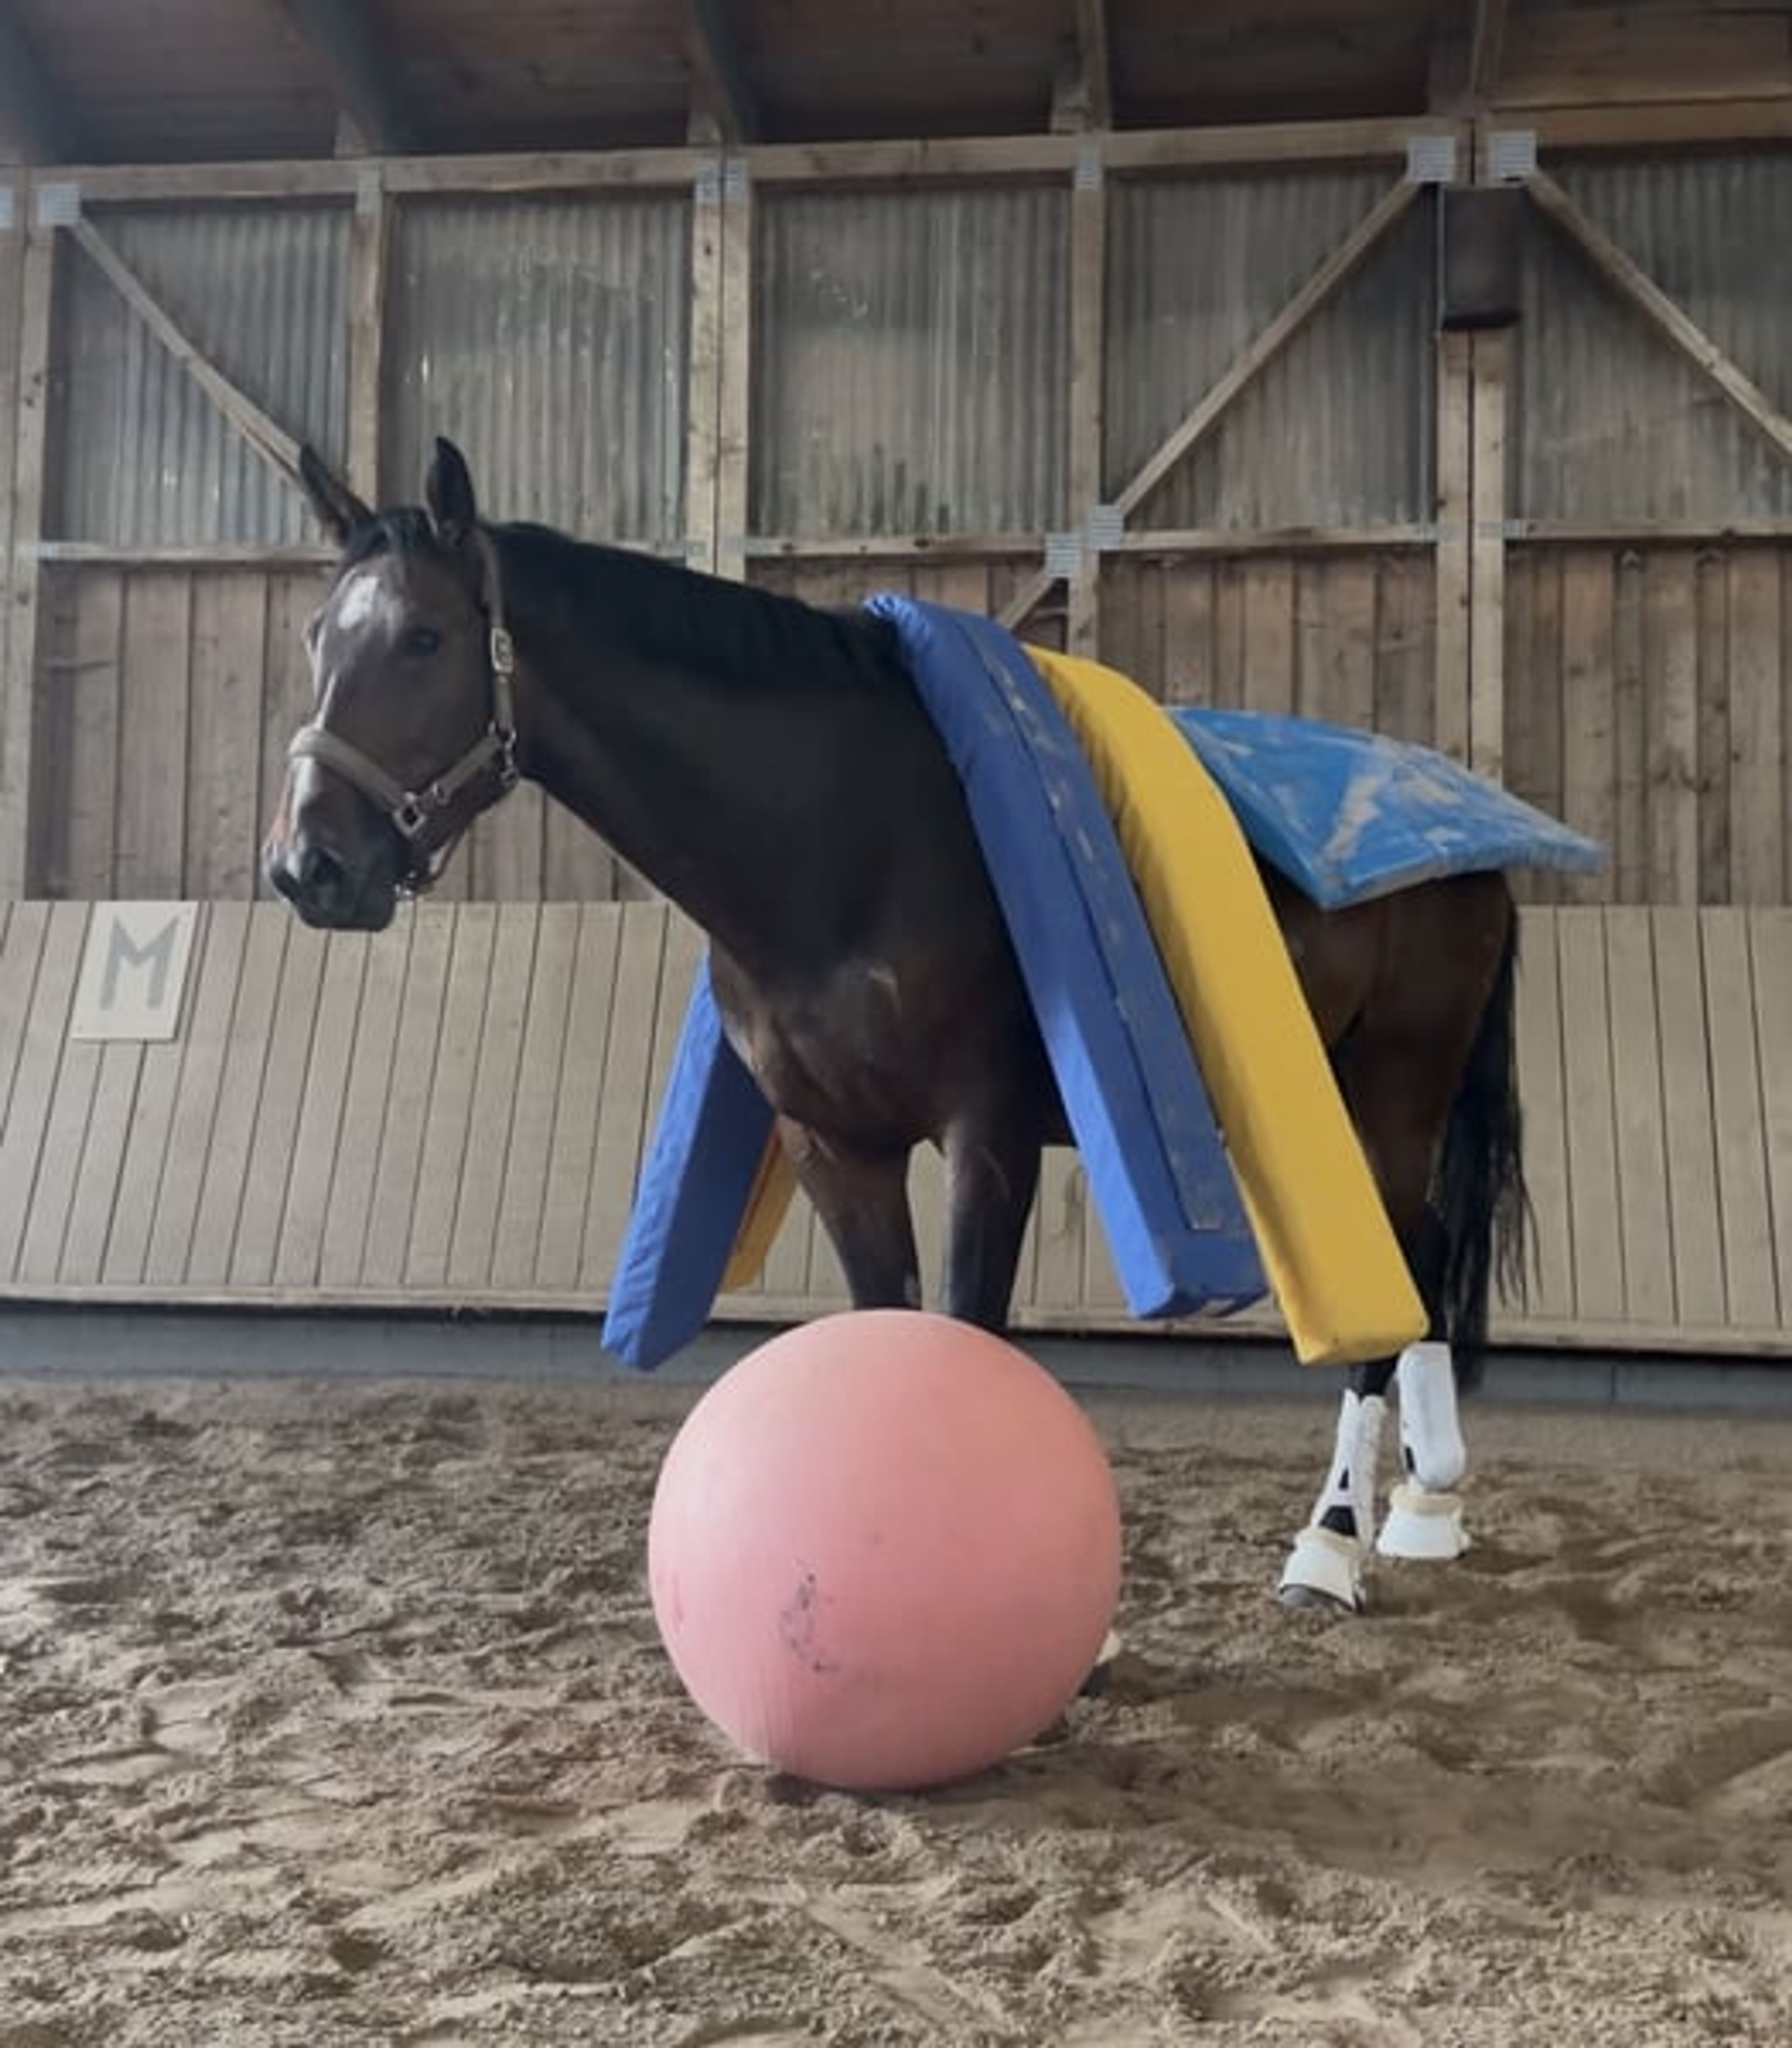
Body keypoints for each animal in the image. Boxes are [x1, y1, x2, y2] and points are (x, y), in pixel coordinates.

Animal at [262, 438, 1530, 1613]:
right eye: (317, 637)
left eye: (424, 639)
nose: (307, 866)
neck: (845, 838)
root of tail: (1464, 820)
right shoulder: (836, 1146)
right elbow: (889, 1326)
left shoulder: (988, 1139)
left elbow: (968, 1336)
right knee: (1424, 1258)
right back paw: (1422, 1506)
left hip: (1392, 1094)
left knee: (1396, 1278)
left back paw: (1329, 1543)